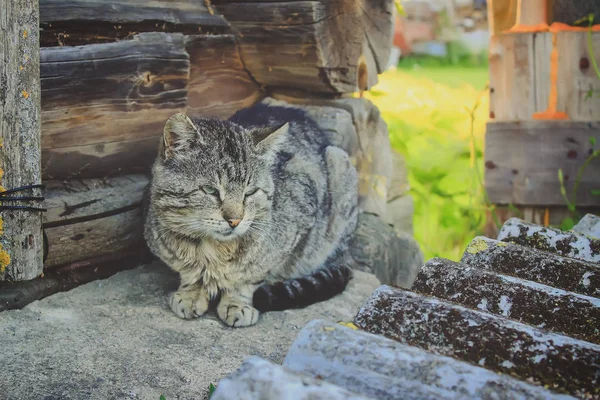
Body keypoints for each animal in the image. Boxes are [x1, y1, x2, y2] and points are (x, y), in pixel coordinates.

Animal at [145, 103, 358, 328]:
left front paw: (237, 303)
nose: (235, 220)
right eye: (210, 190)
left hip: (340, 166)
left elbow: (249, 276)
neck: (212, 250)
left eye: (250, 192)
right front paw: (190, 294)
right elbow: (187, 272)